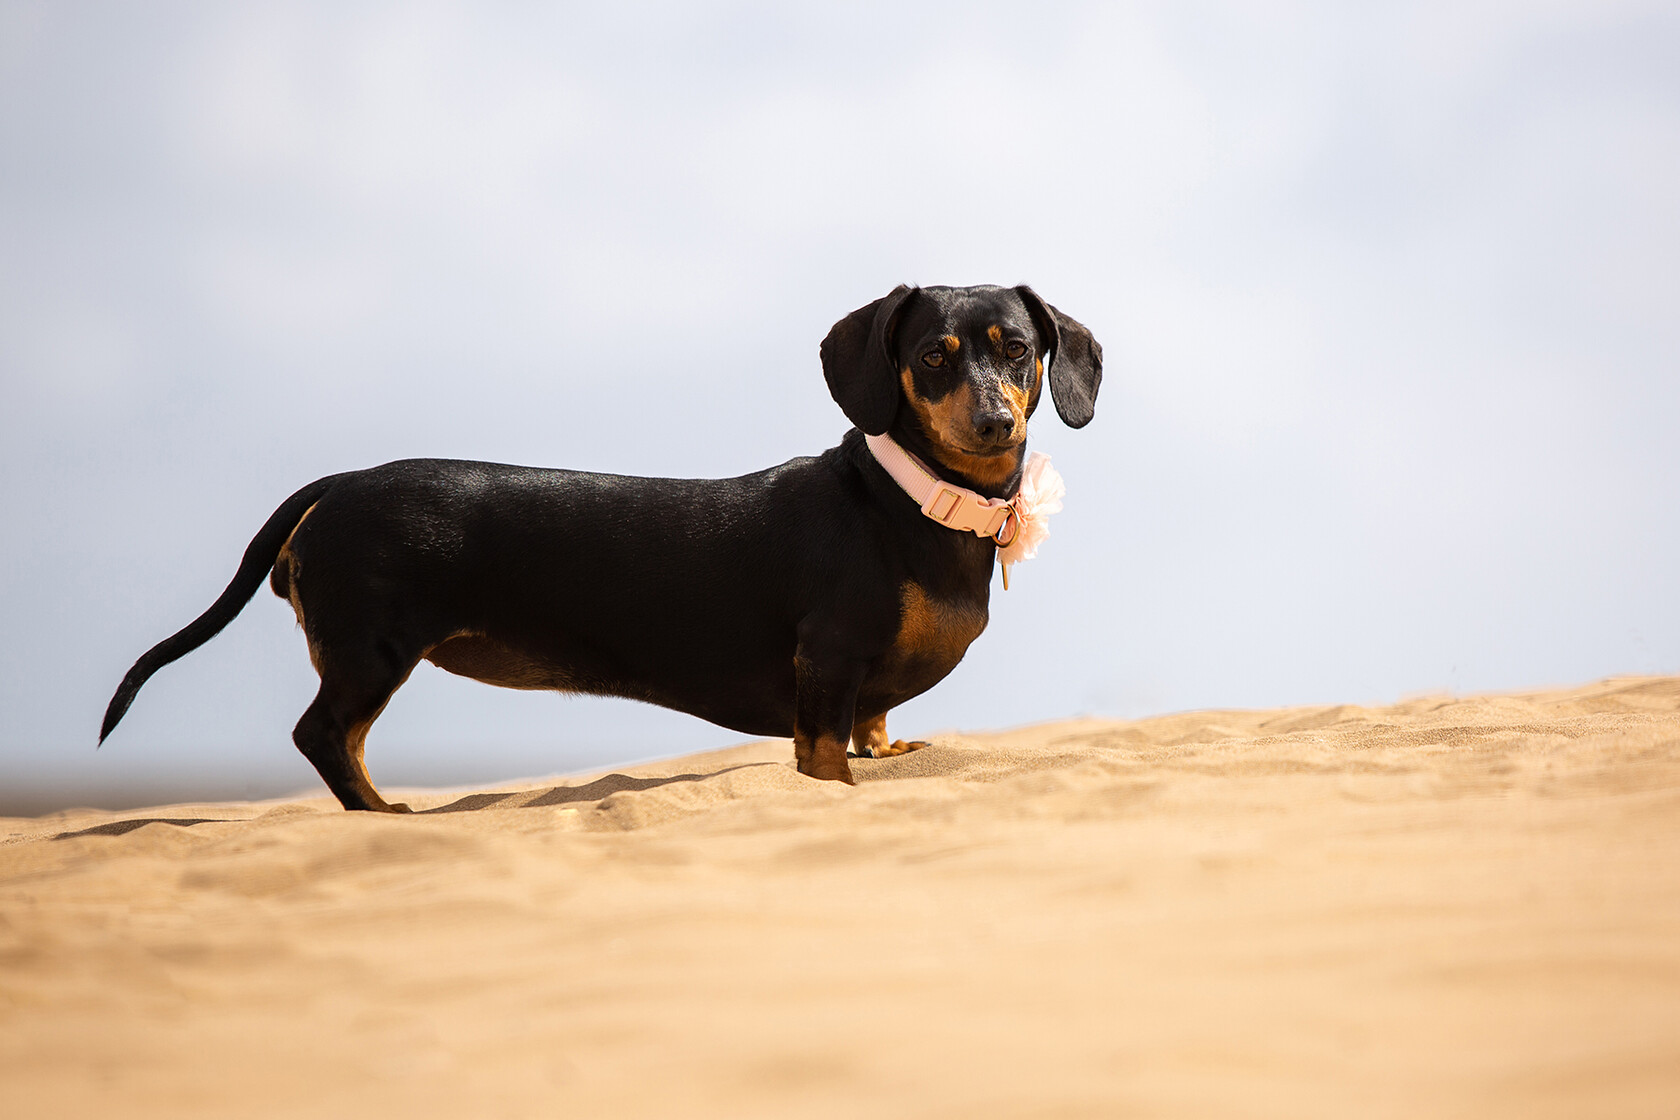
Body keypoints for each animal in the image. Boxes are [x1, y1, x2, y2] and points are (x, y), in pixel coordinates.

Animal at [101, 285, 1102, 809]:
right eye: (933, 356)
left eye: (1017, 349)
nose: (993, 421)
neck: (912, 503)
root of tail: (339, 484)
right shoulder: (826, 664)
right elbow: (823, 754)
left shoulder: (864, 690)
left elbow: (874, 726)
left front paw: (887, 754)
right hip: (370, 650)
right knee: (325, 736)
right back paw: (384, 816)